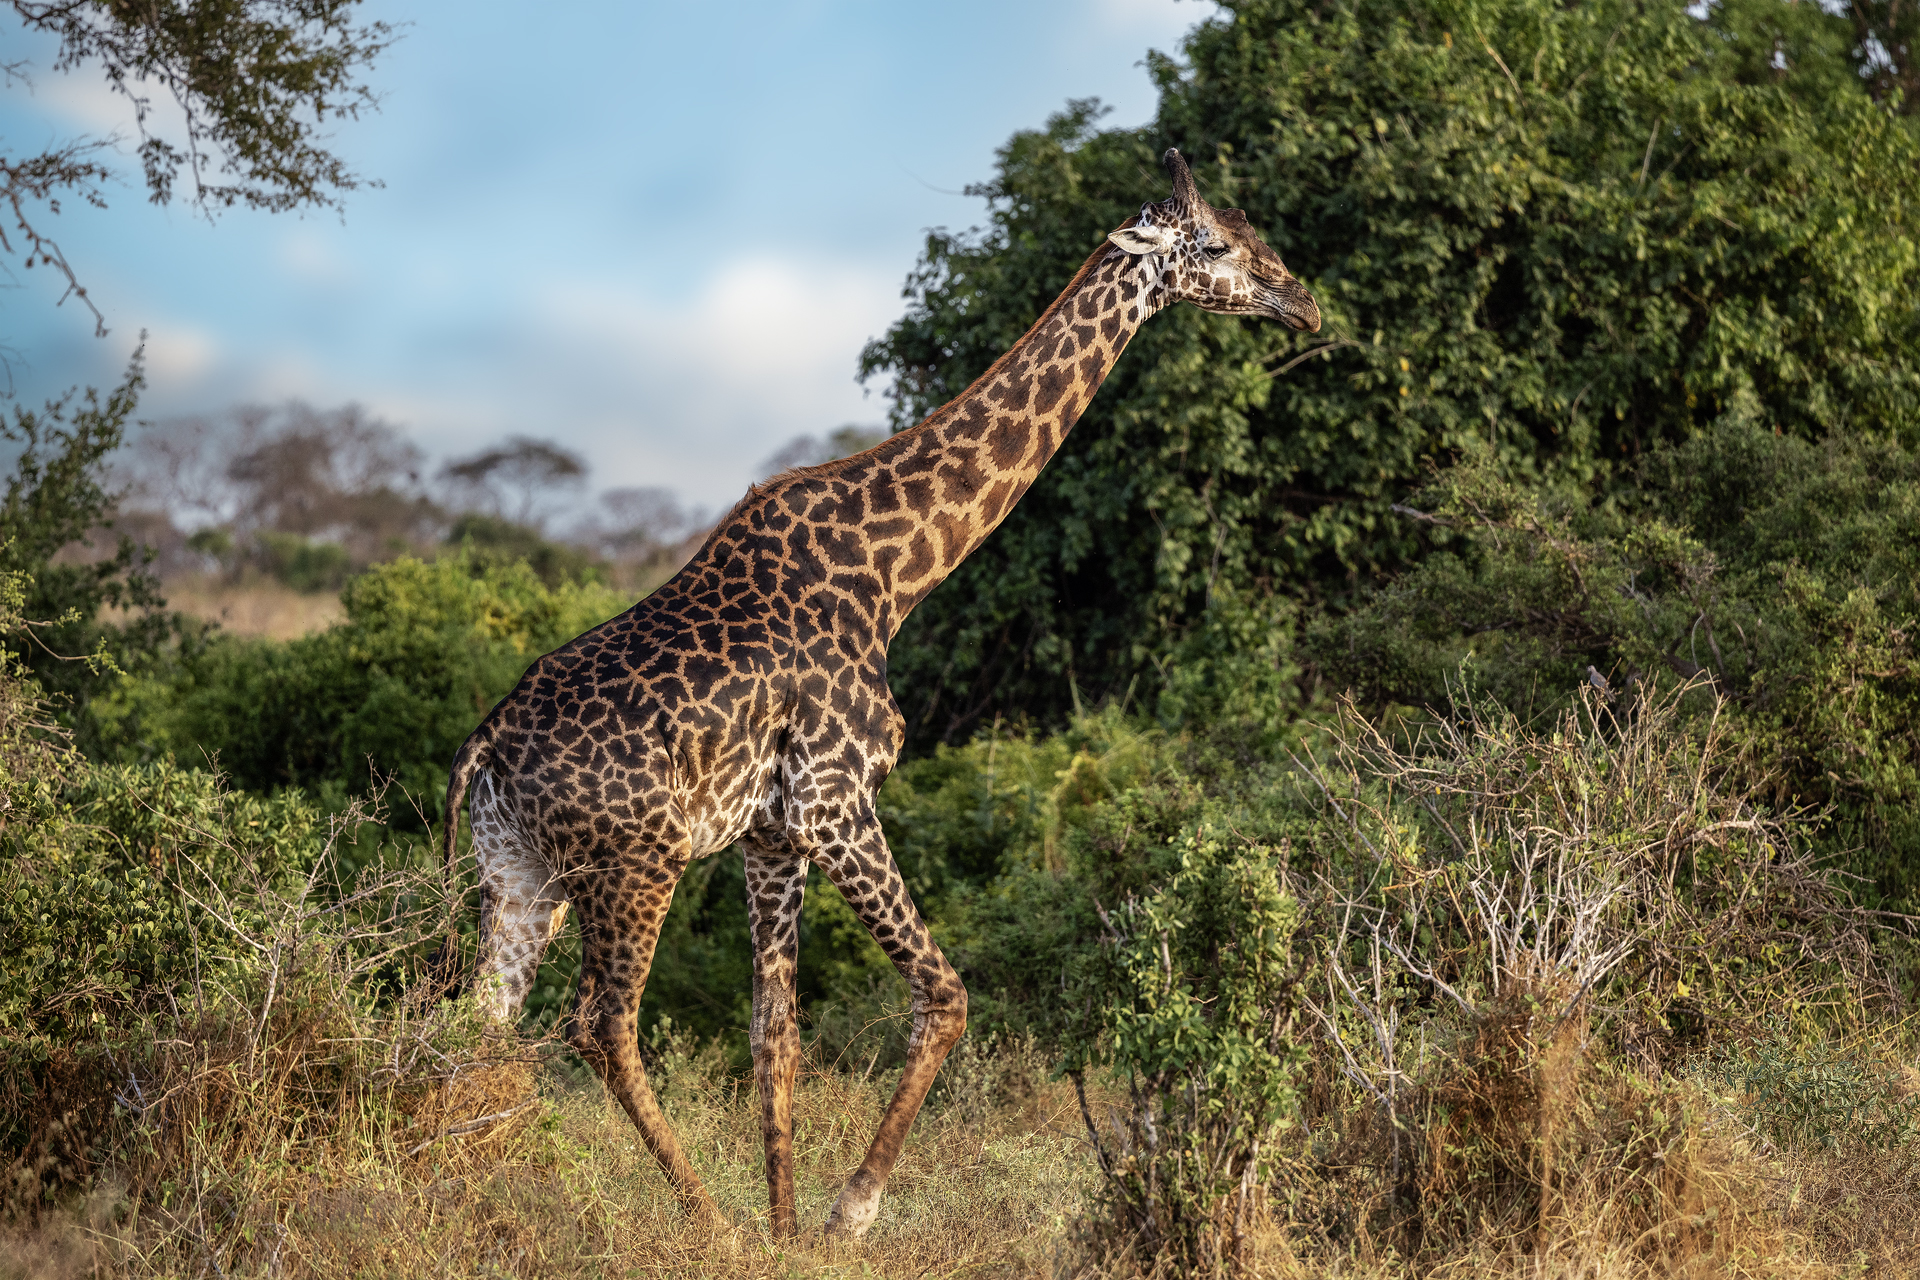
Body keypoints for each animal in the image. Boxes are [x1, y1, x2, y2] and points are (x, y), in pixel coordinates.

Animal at [440, 148, 1320, 1239]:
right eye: (1219, 244)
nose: (1304, 302)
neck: (897, 576)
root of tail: (483, 748)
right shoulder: (836, 801)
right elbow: (945, 995)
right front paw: (844, 1211)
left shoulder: (772, 834)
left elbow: (775, 1032)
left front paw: (787, 1230)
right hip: (634, 862)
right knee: (598, 1023)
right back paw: (705, 1221)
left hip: (520, 871)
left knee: (475, 1023)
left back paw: (460, 1198)